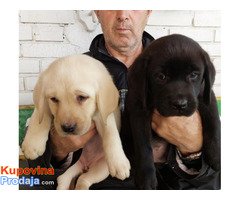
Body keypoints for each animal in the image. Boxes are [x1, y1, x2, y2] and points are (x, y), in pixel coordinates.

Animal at [22, 54, 131, 189]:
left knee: (84, 179)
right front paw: (32, 145)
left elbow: (111, 133)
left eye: (82, 97)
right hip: (70, 166)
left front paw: (119, 163)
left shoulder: (104, 115)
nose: (68, 128)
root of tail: (85, 165)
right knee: (64, 179)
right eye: (54, 99)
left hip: (103, 168)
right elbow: (39, 117)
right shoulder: (44, 105)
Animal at [122, 34, 221, 189]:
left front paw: (216, 156)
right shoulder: (138, 110)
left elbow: (214, 123)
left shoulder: (206, 96)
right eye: (161, 76)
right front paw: (145, 179)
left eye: (194, 75)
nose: (180, 104)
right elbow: (143, 146)